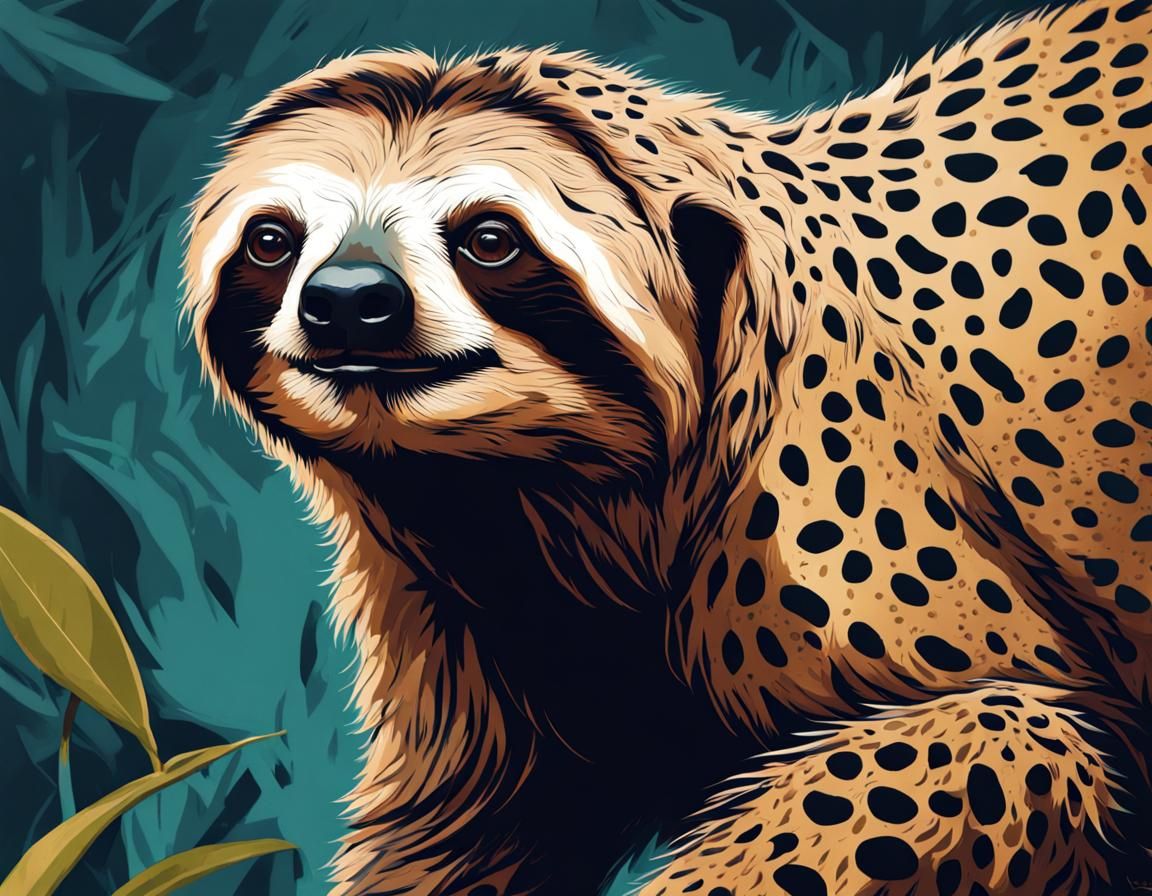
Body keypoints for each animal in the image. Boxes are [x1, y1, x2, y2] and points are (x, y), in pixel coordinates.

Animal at [182, 1, 1152, 893]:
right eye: (272, 241)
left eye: (490, 240)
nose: (349, 298)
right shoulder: (454, 617)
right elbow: (468, 824)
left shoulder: (822, 493)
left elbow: (1012, 728)